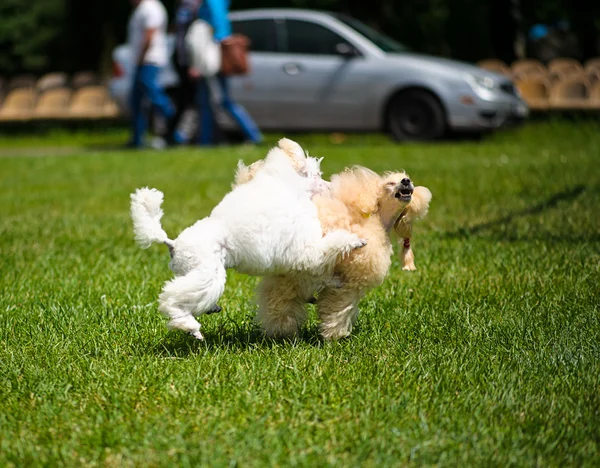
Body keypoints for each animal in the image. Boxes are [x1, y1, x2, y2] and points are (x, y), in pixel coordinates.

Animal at [131, 137, 366, 338]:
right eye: (317, 176)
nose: (331, 186)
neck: (287, 187)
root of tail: (172, 243)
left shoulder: (295, 258)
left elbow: (318, 272)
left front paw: (335, 281)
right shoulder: (303, 249)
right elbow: (326, 249)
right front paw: (356, 241)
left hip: (194, 272)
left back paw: (210, 309)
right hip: (209, 274)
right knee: (172, 299)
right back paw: (190, 326)